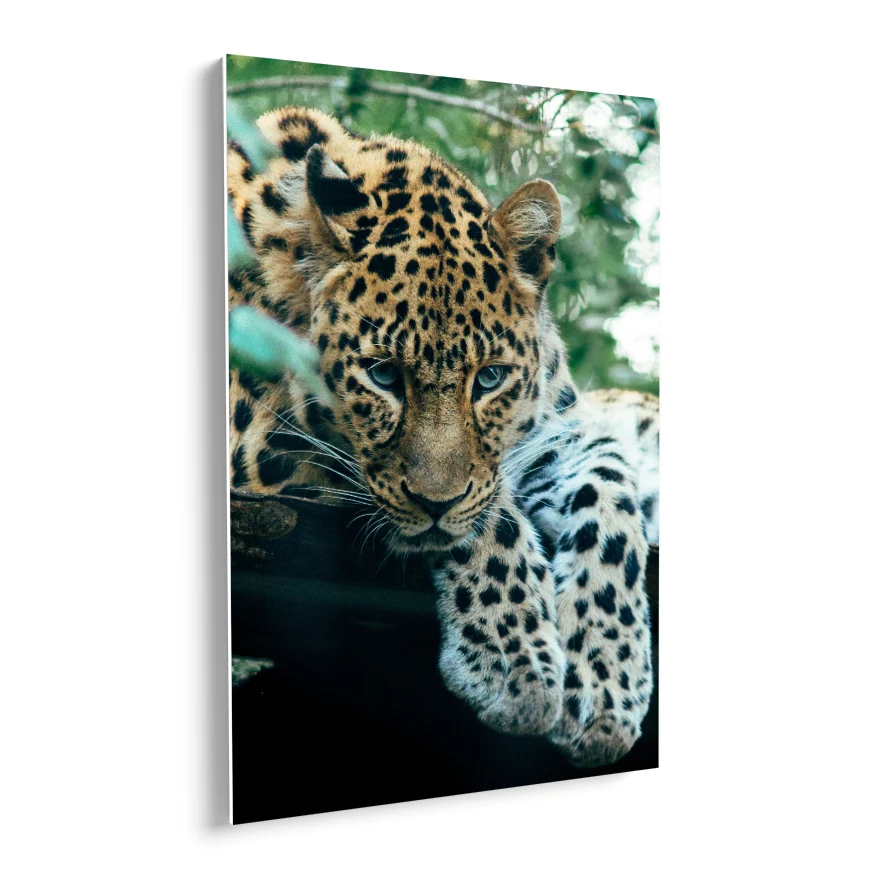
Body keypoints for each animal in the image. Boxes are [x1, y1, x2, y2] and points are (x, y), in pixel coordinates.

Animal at [227, 106, 658, 767]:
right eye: (382, 374)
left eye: (490, 378)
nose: (436, 502)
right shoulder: (257, 447)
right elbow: (491, 515)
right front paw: (517, 665)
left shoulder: (553, 432)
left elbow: (608, 487)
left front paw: (606, 678)